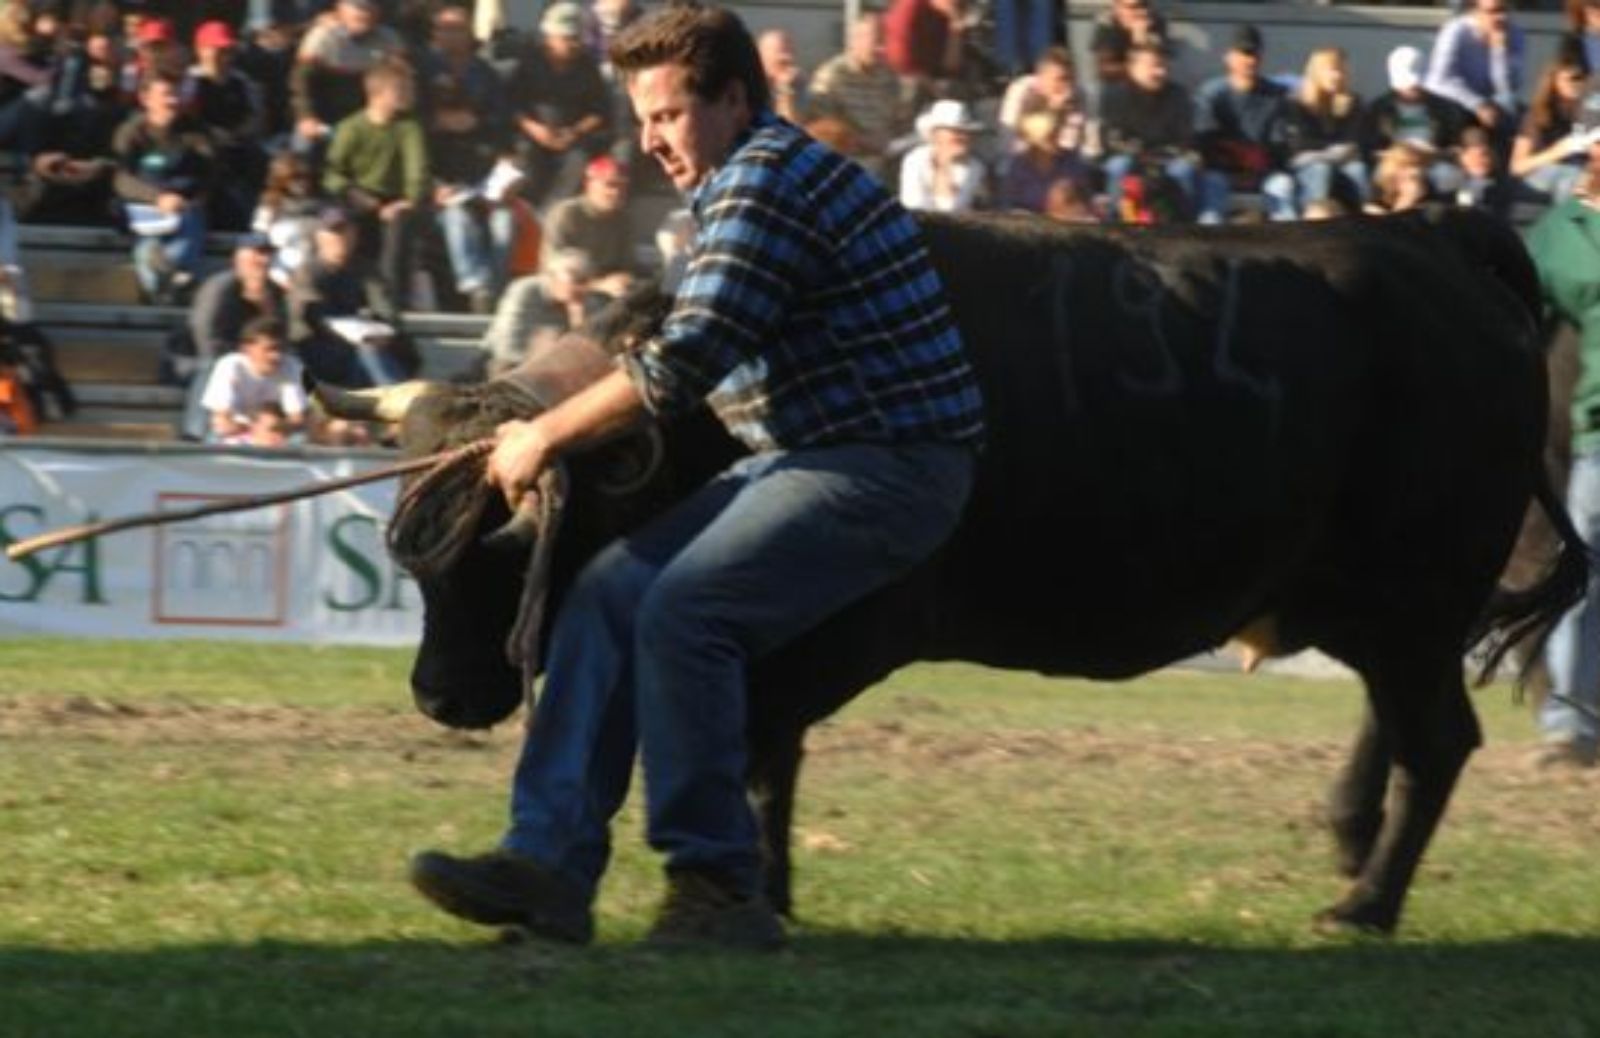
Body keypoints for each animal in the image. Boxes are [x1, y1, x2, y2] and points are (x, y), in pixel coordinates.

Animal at [315, 206, 1587, 934]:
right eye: (410, 547)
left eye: (506, 544)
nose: (440, 694)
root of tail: (1436, 243)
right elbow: (748, 745)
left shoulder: (850, 623)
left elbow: (753, 743)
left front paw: (747, 888)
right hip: (1379, 604)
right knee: (1399, 725)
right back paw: (1350, 838)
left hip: (1414, 592)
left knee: (1436, 739)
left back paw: (1364, 902)